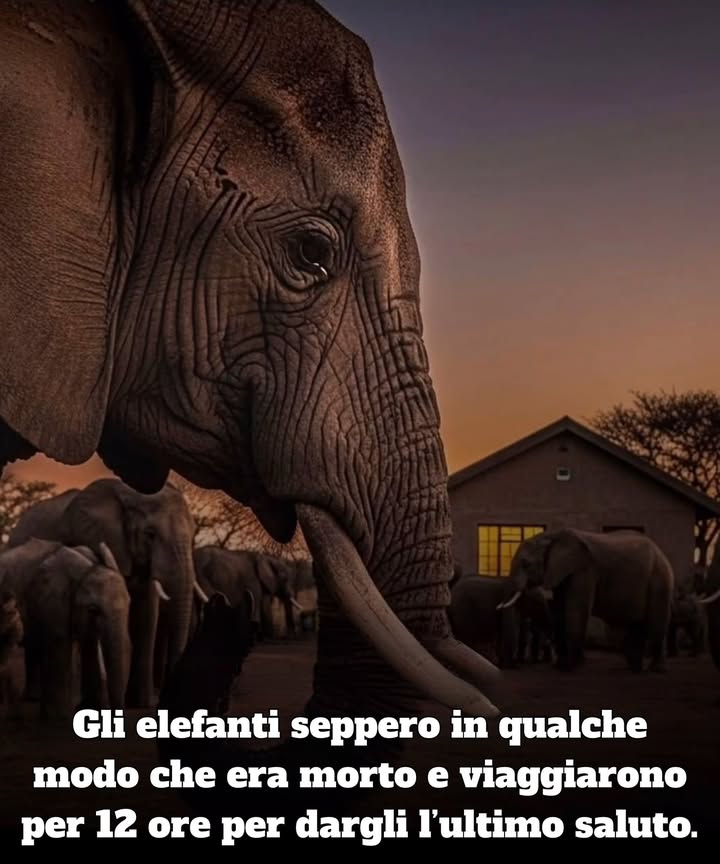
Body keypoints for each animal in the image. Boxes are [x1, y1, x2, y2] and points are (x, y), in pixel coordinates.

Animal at [0, 538, 131, 719]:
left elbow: (89, 646)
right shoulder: (53, 602)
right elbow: (60, 648)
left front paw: (88, 709)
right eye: (93, 610)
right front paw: (59, 718)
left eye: (129, 604)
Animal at [9, 478, 198, 708]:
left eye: (194, 534)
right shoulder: (90, 537)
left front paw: (141, 704)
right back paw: (34, 698)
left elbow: (147, 617)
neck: (130, 495)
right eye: (150, 534)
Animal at [503, 528, 675, 673]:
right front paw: (561, 666)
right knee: (637, 625)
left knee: (656, 623)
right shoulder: (561, 573)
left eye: (525, 564)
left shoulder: (584, 570)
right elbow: (559, 612)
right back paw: (634, 669)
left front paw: (572, 667)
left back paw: (655, 669)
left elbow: (575, 611)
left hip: (660, 579)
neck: (550, 536)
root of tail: (661, 553)